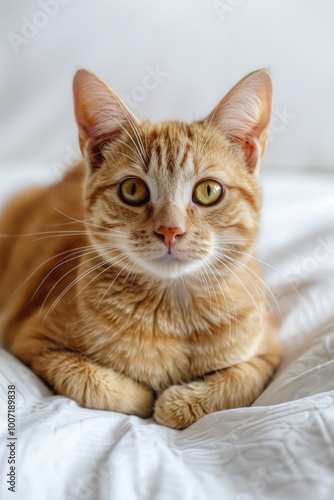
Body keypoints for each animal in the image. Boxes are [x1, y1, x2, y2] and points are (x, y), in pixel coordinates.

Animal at [0, 69, 280, 430]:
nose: (170, 230)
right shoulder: (29, 340)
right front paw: (145, 397)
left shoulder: (269, 351)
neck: (174, 313)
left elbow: (240, 381)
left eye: (208, 191)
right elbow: (90, 381)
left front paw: (177, 403)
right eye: (132, 189)